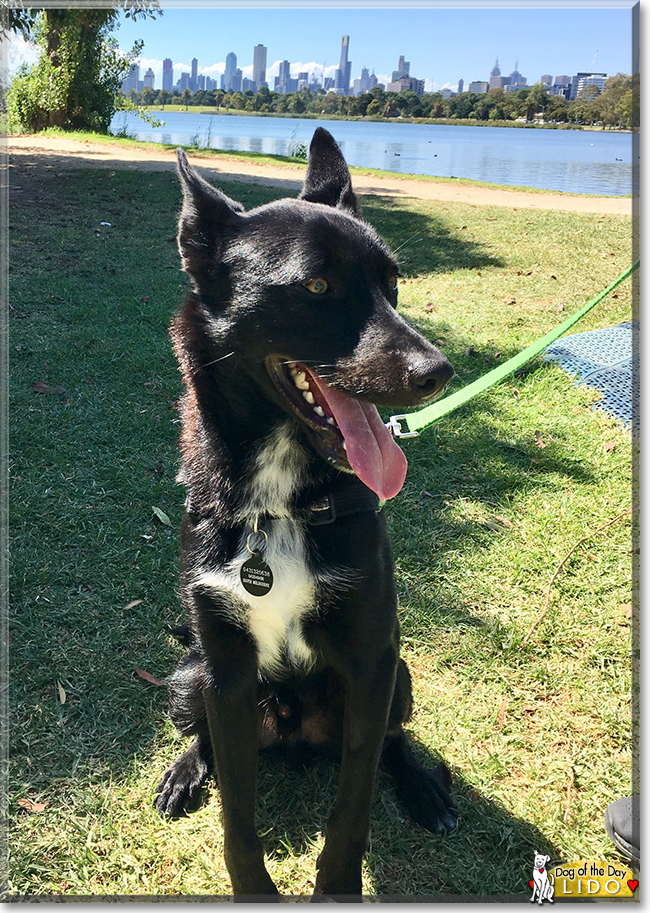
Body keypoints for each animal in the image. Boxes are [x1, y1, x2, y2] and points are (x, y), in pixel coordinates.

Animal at [154, 128, 454, 896]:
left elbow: (353, 805)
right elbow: (237, 813)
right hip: (187, 677)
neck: (280, 501)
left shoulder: (371, 662)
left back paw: (423, 786)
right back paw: (183, 771)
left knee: (393, 742)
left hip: (399, 675)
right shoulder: (225, 674)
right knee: (205, 737)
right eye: (317, 286)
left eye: (392, 283)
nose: (438, 372)